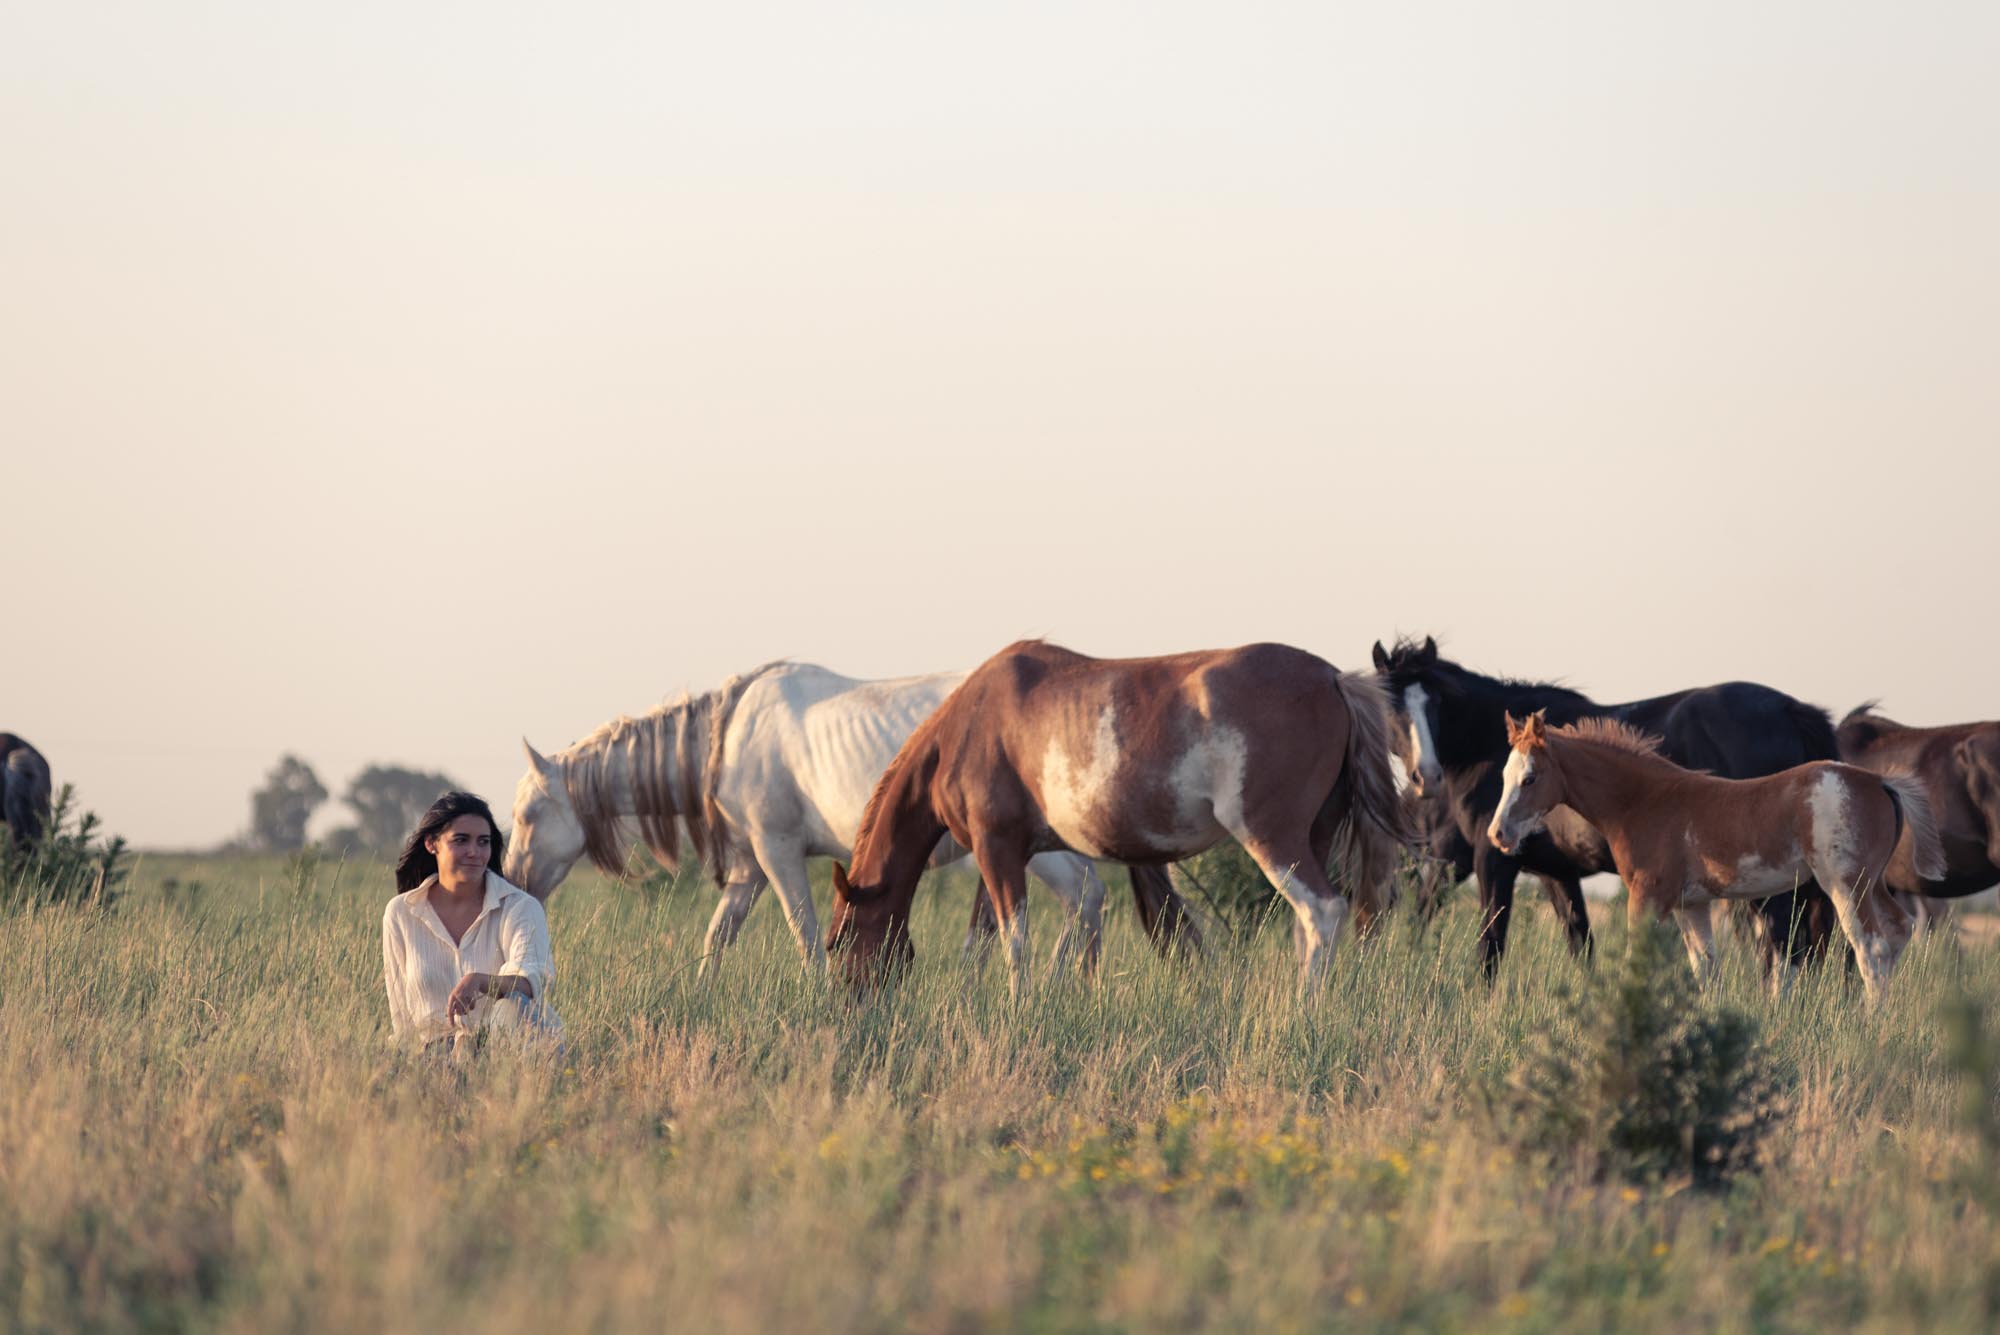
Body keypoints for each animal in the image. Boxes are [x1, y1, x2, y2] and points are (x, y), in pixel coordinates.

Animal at [502, 661, 1202, 980]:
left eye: (530, 812)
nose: (512, 882)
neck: (728, 735)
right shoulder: (750, 868)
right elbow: (717, 937)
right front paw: (700, 992)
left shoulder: (778, 852)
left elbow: (806, 933)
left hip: (1045, 853)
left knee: (1084, 901)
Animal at [827, 640, 1410, 996]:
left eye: (837, 940)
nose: (847, 1001)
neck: (970, 726)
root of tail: (1333, 678)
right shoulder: (1002, 855)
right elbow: (981, 942)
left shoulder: (997, 850)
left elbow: (1015, 942)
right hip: (1315, 837)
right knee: (1306, 925)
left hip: (1272, 838)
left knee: (1322, 912)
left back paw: (1303, 1010)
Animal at [1372, 636, 1843, 977]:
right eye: (1392, 705)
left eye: (1434, 704)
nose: (1426, 776)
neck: (1484, 745)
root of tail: (1790, 709)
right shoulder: (1556, 874)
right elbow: (1581, 946)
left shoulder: (1492, 862)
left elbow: (1489, 949)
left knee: (1782, 949)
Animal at [1489, 711, 1943, 1002]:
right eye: (1505, 776)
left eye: (1530, 778)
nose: (1498, 834)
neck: (1645, 802)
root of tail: (1880, 781)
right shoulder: (1692, 905)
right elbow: (1706, 969)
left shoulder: (1647, 898)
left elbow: (1640, 964)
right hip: (1873, 881)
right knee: (1899, 930)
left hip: (1845, 884)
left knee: (1871, 947)